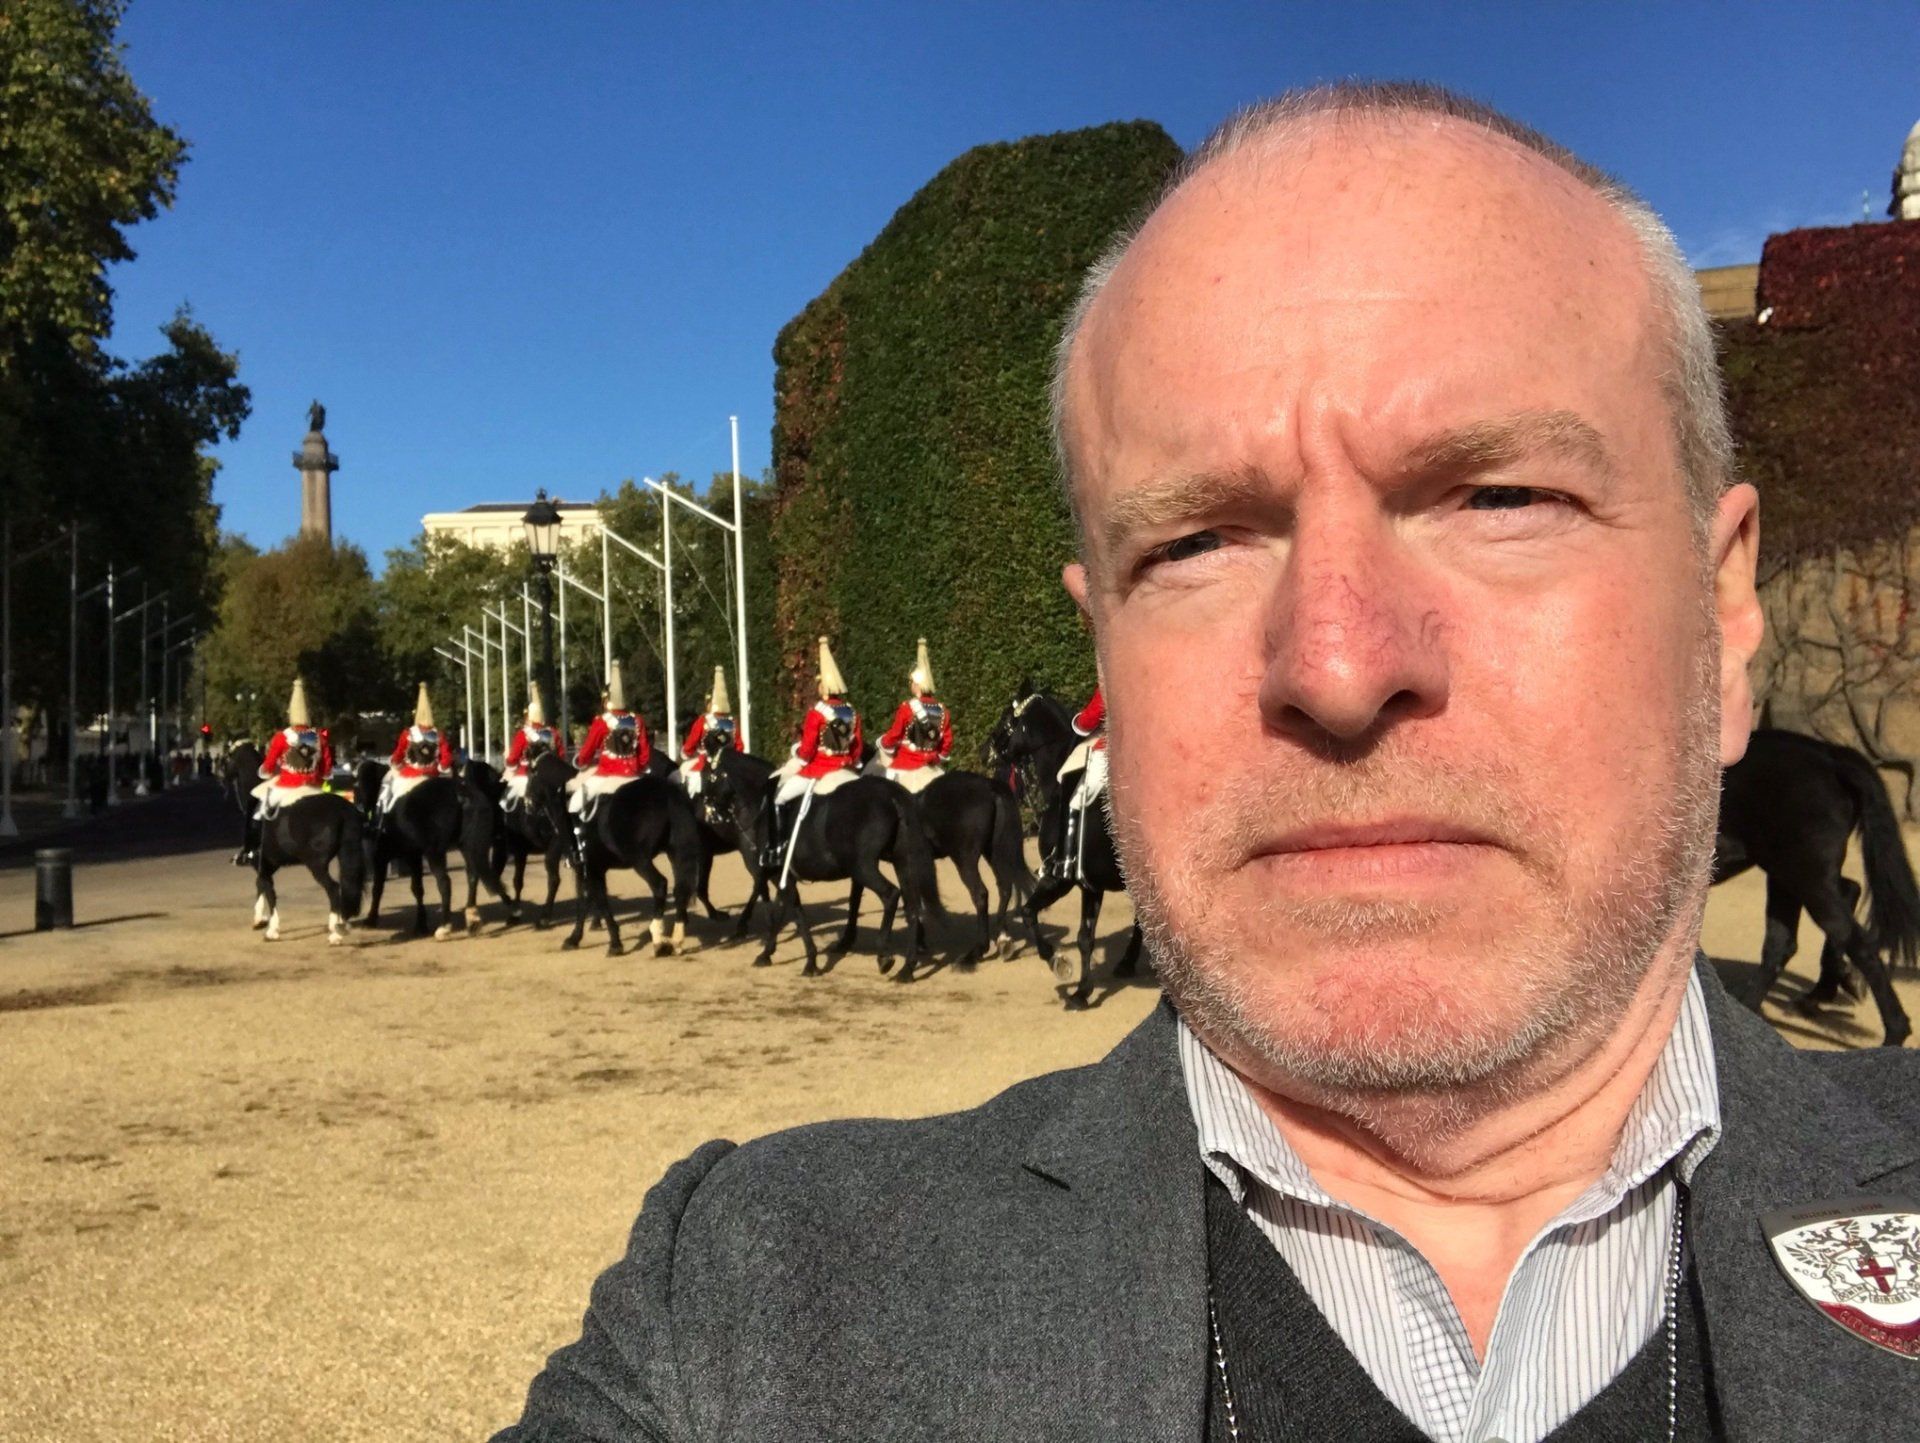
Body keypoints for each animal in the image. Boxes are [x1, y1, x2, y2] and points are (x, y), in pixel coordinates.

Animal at [251, 790, 362, 947]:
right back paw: (340, 926)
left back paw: (335, 934)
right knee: (348, 886)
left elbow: (268, 891)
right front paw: (259, 920)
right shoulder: (269, 866)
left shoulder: (265, 863)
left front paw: (271, 931)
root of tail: (343, 810)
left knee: (333, 888)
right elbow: (261, 885)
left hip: (316, 865)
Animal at [526, 756, 706, 959]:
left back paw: (658, 940)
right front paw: (576, 938)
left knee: (659, 885)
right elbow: (586, 901)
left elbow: (598, 901)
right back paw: (676, 941)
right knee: (680, 889)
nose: (528, 803)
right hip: (676, 854)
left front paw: (613, 943)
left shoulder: (590, 869)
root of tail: (667, 794)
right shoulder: (592, 869)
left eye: (532, 774)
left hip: (640, 860)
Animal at [706, 744, 944, 982]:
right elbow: (789, 913)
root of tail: (892, 793)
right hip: (902, 862)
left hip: (863, 867)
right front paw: (789, 957)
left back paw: (884, 956)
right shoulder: (785, 878)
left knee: (891, 895)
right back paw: (907, 969)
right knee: (912, 906)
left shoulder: (777, 876)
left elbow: (788, 915)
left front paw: (786, 957)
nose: (709, 812)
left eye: (712, 774)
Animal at [990, 683, 1136, 1005]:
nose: (987, 752)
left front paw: (1058, 962)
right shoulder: (1090, 885)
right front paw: (1083, 988)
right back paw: (1127, 964)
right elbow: (1084, 937)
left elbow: (1028, 913)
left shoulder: (1061, 880)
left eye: (1008, 718)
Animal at [1712, 733, 1920, 1051]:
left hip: (1804, 875)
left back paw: (1893, 1034)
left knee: (1854, 939)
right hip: (1790, 875)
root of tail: (1829, 754)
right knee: (1791, 938)